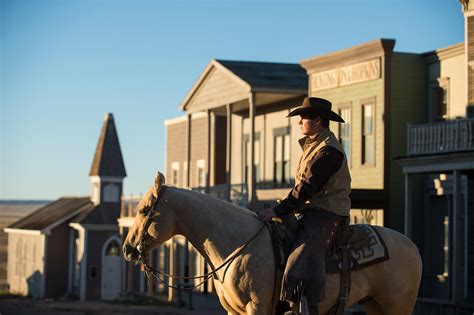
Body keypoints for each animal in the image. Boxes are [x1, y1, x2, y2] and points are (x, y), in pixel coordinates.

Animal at [122, 173, 422, 315]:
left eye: (145, 209)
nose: (127, 249)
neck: (237, 245)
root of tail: (413, 246)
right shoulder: (233, 310)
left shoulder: (257, 307)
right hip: (375, 304)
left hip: (398, 305)